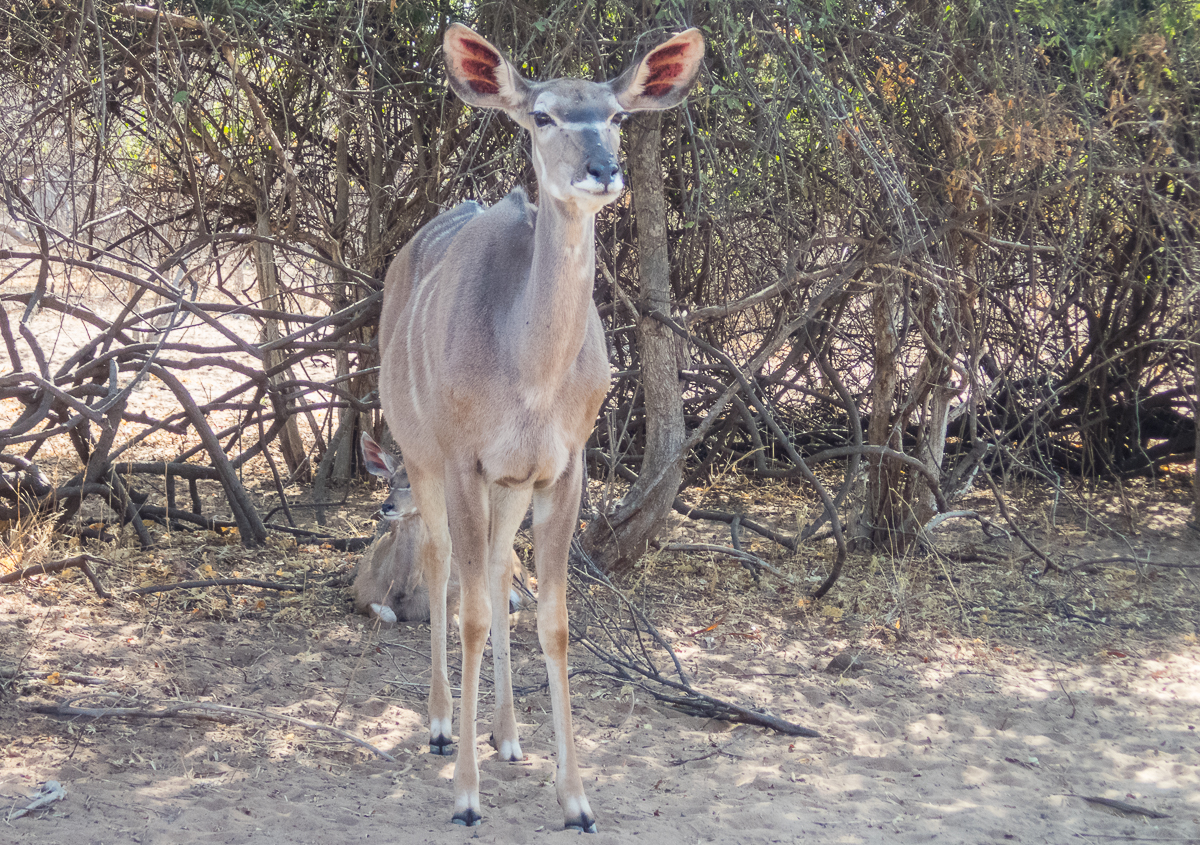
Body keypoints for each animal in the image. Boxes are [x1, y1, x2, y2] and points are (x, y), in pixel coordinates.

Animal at [350, 436, 530, 628]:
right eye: (391, 482)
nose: (387, 506)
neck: (401, 591)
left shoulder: (455, 589)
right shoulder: (362, 596)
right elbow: (387, 615)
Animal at [376, 23, 700, 830]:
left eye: (616, 115)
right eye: (543, 115)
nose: (603, 171)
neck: (526, 369)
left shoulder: (561, 468)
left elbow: (550, 616)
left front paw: (577, 797)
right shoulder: (463, 460)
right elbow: (467, 610)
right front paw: (466, 797)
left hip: (509, 487)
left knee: (494, 570)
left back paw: (508, 735)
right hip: (420, 458)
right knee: (442, 564)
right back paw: (440, 725)